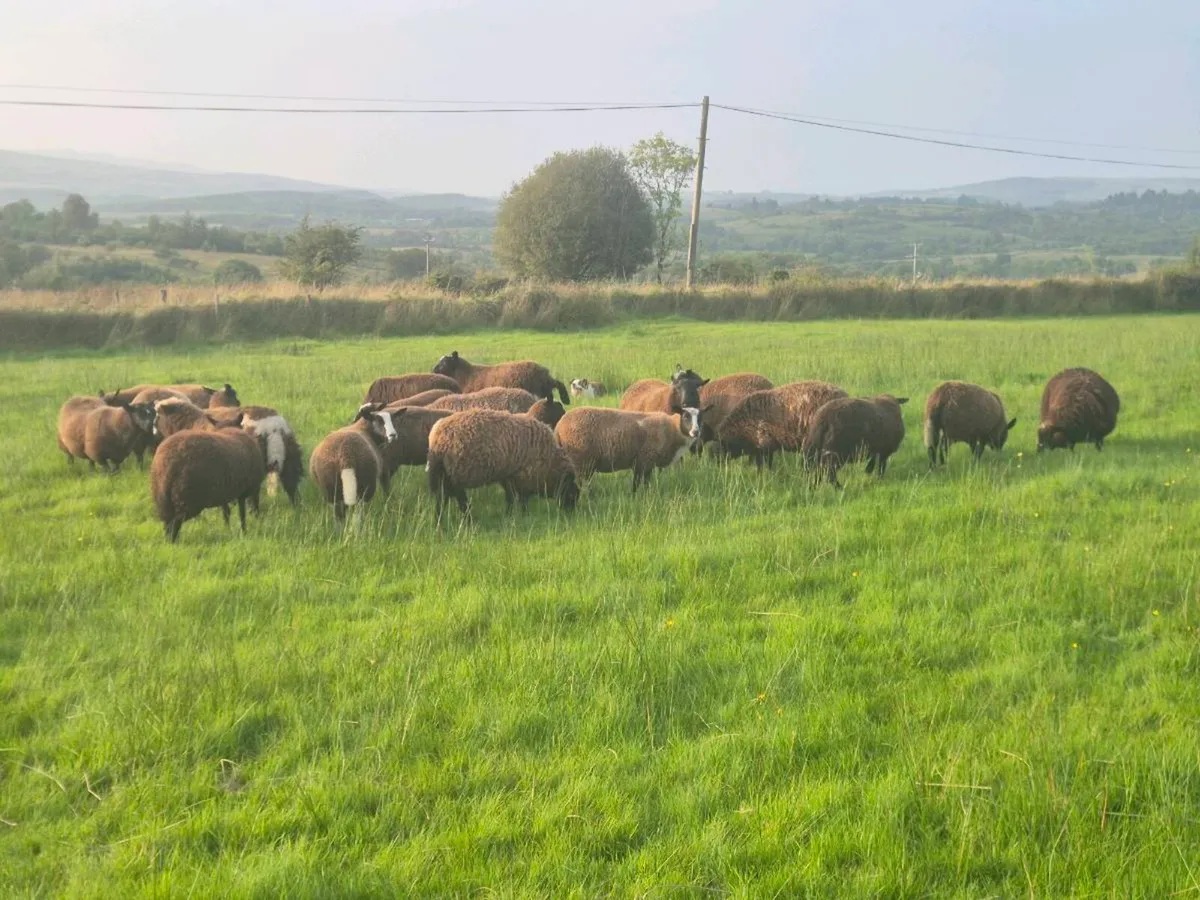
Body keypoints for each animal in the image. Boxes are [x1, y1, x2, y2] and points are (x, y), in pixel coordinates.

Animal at [426, 409, 579, 519]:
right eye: (571, 494)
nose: (570, 514)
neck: (549, 462)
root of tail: (437, 437)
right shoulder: (522, 476)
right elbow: (521, 499)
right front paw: (523, 516)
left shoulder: (508, 476)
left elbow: (511, 498)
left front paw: (509, 515)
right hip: (456, 473)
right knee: (458, 497)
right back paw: (467, 518)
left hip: (444, 474)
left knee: (442, 498)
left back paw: (438, 520)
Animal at [433, 350, 571, 404]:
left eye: (444, 363)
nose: (433, 370)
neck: (467, 375)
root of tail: (542, 371)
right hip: (545, 386)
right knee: (555, 387)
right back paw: (565, 399)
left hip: (538, 387)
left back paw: (565, 399)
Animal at [555, 405, 703, 493]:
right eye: (686, 416)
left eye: (700, 418)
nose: (696, 432)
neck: (673, 429)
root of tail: (559, 426)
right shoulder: (645, 460)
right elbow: (641, 483)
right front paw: (640, 496)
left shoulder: (640, 462)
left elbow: (639, 482)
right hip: (581, 461)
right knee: (582, 484)